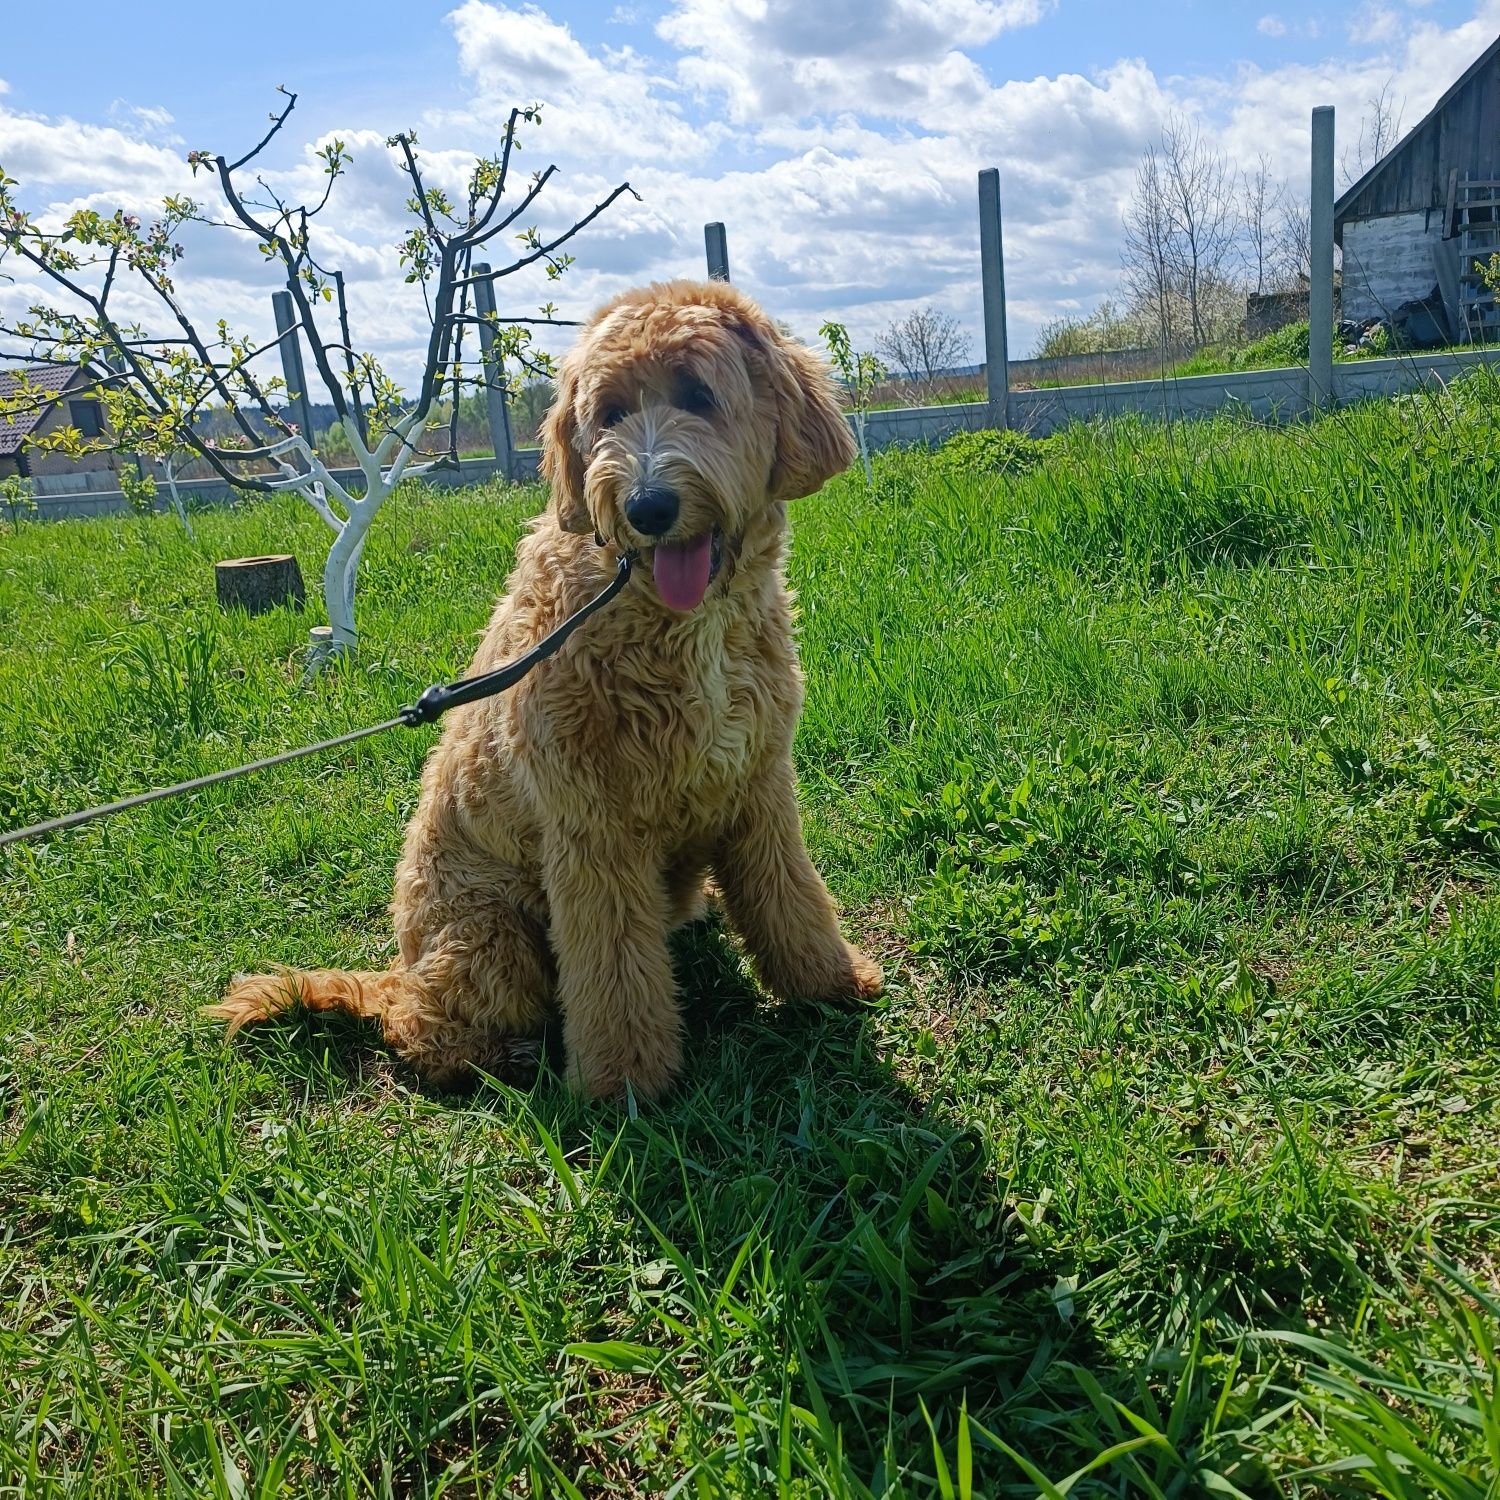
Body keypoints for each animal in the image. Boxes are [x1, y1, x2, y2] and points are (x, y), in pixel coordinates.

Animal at [217, 282, 882, 1098]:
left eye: (699, 395)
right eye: (611, 413)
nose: (647, 507)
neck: (673, 620)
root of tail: (400, 969)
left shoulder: (758, 788)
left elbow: (791, 900)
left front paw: (829, 984)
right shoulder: (593, 830)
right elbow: (613, 970)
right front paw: (625, 1082)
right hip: (492, 935)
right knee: (420, 1028)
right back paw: (498, 1053)